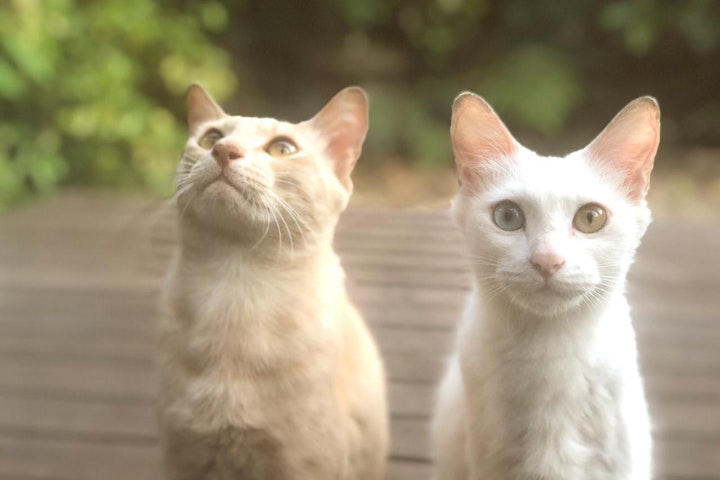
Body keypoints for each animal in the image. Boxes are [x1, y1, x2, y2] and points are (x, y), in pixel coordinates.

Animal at [159, 85, 388, 480]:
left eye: (282, 148)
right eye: (211, 138)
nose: (225, 151)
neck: (235, 293)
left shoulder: (304, 463)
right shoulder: (182, 455)